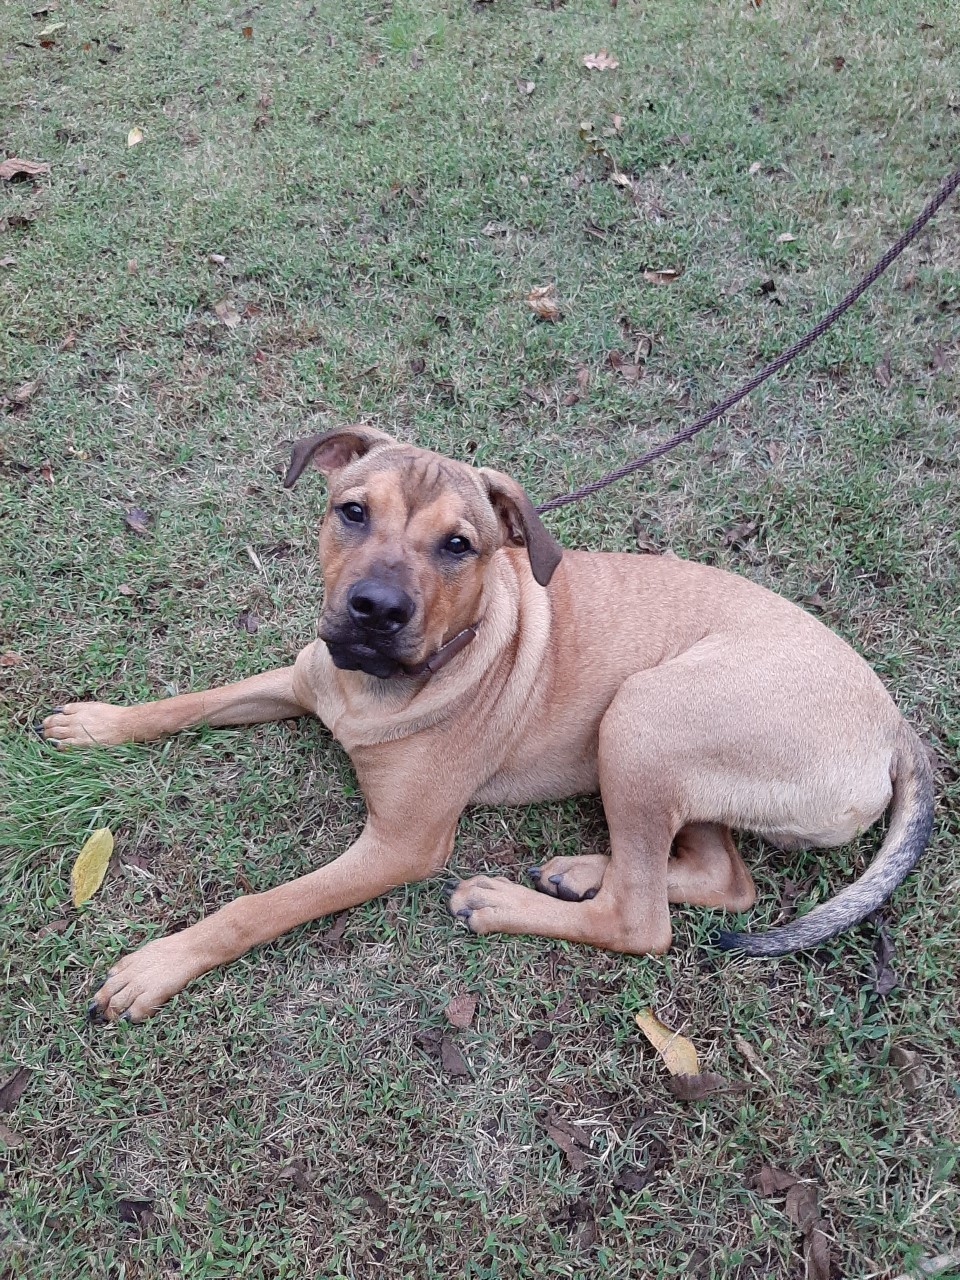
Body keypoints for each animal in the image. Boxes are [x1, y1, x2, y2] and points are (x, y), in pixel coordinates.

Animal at [43, 424, 931, 1024]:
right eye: (351, 511)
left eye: (459, 546)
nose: (375, 610)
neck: (376, 689)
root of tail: (894, 726)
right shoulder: (301, 679)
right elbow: (188, 703)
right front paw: (99, 724)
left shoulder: (401, 845)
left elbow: (259, 907)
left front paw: (163, 964)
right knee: (723, 879)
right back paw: (580, 869)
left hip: (643, 714)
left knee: (644, 923)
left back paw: (505, 902)